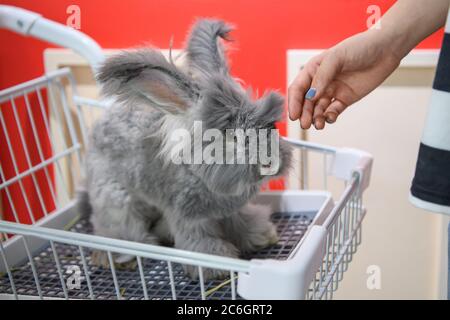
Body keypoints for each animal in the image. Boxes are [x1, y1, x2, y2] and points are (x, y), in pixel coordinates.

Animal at [78, 18, 292, 278]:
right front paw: (216, 267)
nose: (270, 164)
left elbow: (241, 223)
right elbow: (200, 243)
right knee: (115, 230)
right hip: (116, 201)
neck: (200, 175)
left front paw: (262, 236)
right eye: (228, 135)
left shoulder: (230, 211)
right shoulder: (188, 217)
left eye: (271, 125)